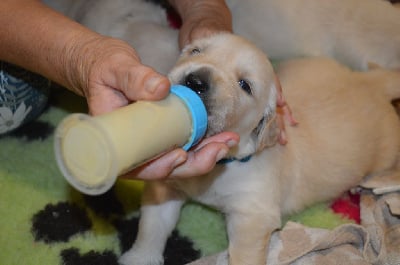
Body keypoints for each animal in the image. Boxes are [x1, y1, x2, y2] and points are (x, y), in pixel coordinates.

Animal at [119, 33, 400, 264]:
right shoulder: (167, 186)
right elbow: (152, 225)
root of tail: (370, 83)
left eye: (245, 85)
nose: (196, 81)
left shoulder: (252, 214)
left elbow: (244, 253)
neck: (222, 165)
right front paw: (139, 258)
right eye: (195, 51)